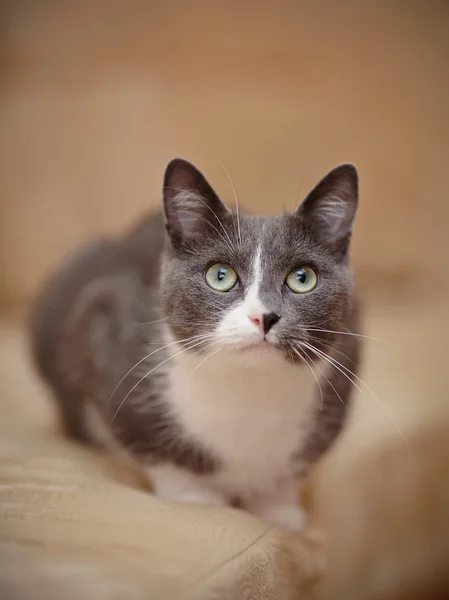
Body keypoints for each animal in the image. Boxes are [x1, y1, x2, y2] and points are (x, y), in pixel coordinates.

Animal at [28, 158, 360, 528]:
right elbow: (158, 452)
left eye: (303, 278)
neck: (249, 391)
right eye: (220, 275)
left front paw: (279, 511)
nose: (264, 316)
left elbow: (288, 473)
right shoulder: (101, 325)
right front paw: (197, 498)